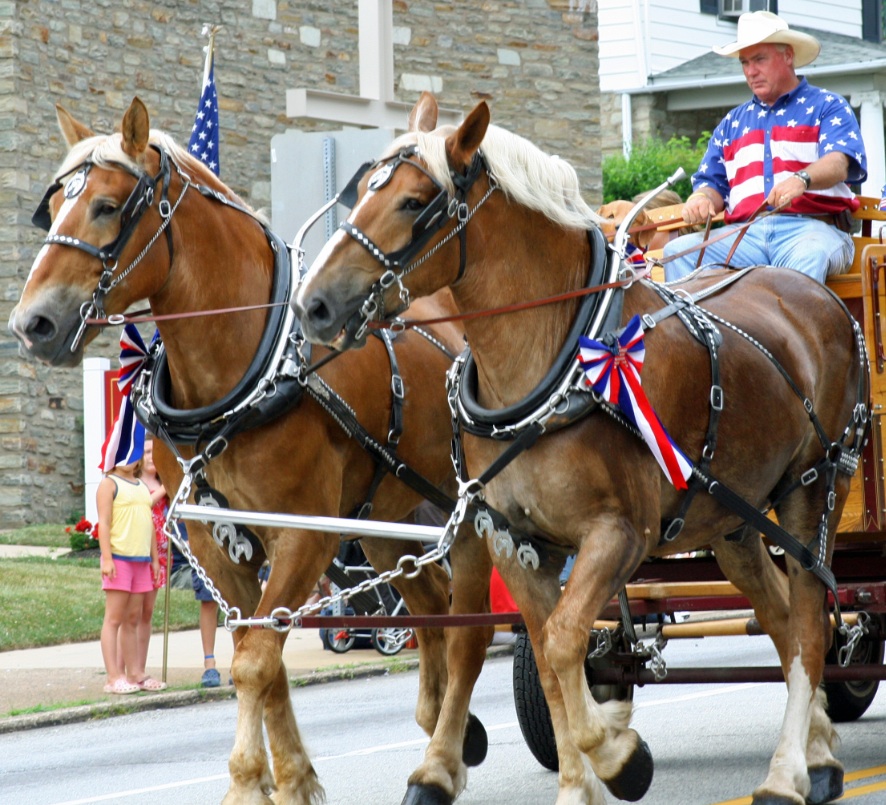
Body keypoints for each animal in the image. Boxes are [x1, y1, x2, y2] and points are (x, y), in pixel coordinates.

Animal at [6, 99, 496, 804]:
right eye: (53, 206)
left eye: (105, 206)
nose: (32, 324)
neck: (246, 368)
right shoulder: (219, 541)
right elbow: (251, 655)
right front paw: (290, 779)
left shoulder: (303, 534)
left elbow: (258, 661)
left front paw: (246, 783)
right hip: (385, 515)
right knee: (429, 604)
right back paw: (438, 726)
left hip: (469, 512)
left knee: (472, 629)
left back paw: (441, 760)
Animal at [298, 91, 876, 800]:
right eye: (359, 195)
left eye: (412, 202)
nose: (313, 305)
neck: (553, 359)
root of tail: (819, 297)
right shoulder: (517, 541)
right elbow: (550, 655)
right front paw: (584, 776)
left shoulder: (618, 533)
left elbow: (567, 639)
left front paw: (618, 755)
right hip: (732, 520)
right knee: (783, 620)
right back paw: (818, 756)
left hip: (812, 489)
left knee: (810, 624)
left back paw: (787, 769)